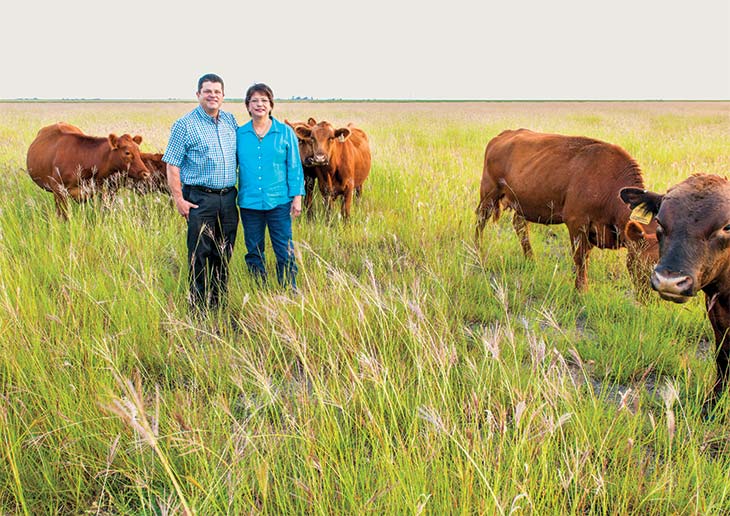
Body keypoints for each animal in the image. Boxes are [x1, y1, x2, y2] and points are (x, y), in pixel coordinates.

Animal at [474, 127, 656, 292]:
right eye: (647, 265)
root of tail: (503, 135)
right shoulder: (577, 223)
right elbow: (580, 258)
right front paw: (581, 290)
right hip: (488, 194)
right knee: (480, 221)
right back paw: (477, 253)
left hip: (521, 203)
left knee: (520, 226)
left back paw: (531, 260)